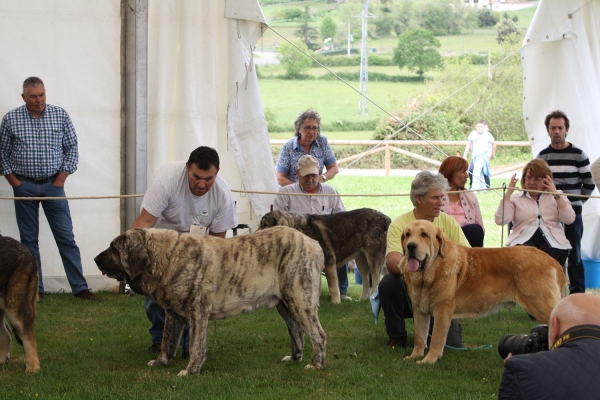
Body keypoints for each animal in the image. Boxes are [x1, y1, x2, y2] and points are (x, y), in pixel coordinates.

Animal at [256, 208, 390, 302]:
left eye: (265, 225)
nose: (254, 234)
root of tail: (386, 218)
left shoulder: (329, 262)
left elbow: (332, 286)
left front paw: (335, 302)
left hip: (373, 259)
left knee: (376, 281)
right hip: (361, 261)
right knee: (366, 282)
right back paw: (361, 300)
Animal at [400, 219, 564, 366]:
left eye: (424, 235)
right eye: (407, 234)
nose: (411, 246)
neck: (428, 273)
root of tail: (552, 260)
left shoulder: (442, 311)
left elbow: (436, 339)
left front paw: (429, 360)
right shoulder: (419, 311)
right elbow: (420, 337)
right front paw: (415, 356)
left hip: (541, 305)